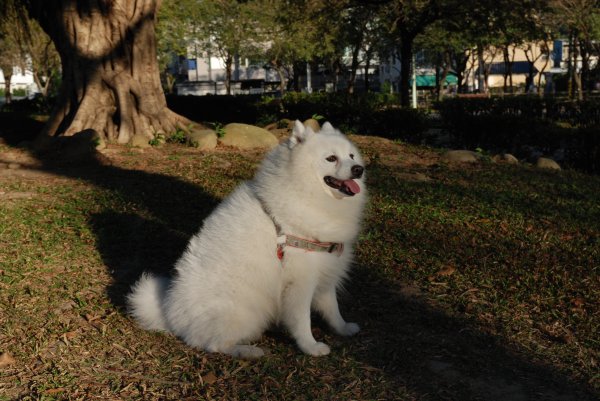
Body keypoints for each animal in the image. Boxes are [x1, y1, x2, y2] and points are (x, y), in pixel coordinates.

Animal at [127, 119, 366, 356]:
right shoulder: (299, 281)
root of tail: (169, 315)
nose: (359, 169)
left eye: (351, 156)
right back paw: (249, 352)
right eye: (331, 158)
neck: (306, 193)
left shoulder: (326, 269)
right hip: (244, 310)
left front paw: (343, 328)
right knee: (213, 344)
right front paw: (311, 347)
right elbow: (301, 319)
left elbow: (332, 308)